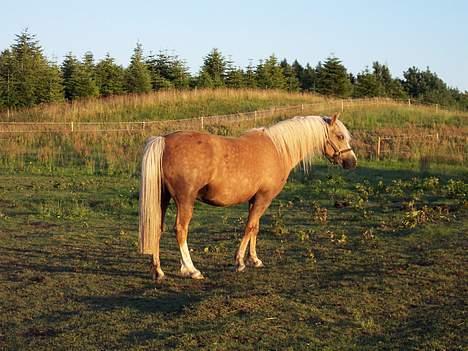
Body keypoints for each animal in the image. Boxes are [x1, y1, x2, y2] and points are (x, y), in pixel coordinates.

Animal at [138, 114, 354, 282]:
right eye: (340, 136)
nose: (351, 162)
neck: (278, 149)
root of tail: (164, 140)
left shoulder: (255, 199)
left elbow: (255, 228)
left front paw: (254, 259)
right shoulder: (264, 198)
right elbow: (249, 227)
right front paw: (240, 262)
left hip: (162, 199)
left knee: (157, 227)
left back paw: (158, 271)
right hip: (185, 201)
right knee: (181, 230)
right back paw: (192, 270)